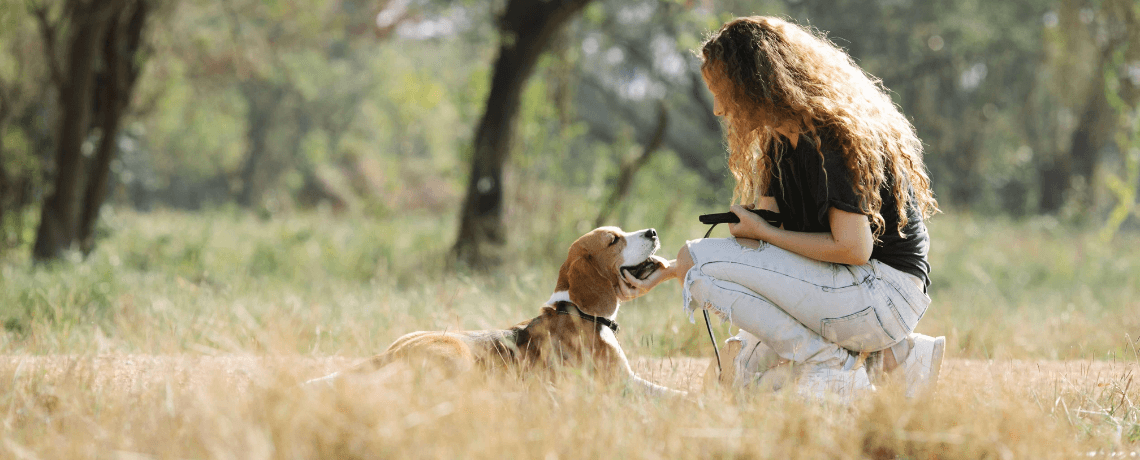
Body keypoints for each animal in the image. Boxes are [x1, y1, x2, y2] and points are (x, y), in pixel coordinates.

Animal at [307, 225, 684, 396]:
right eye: (613, 240)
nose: (652, 231)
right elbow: (669, 394)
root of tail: (394, 351)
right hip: (458, 361)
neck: (575, 309)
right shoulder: (623, 384)